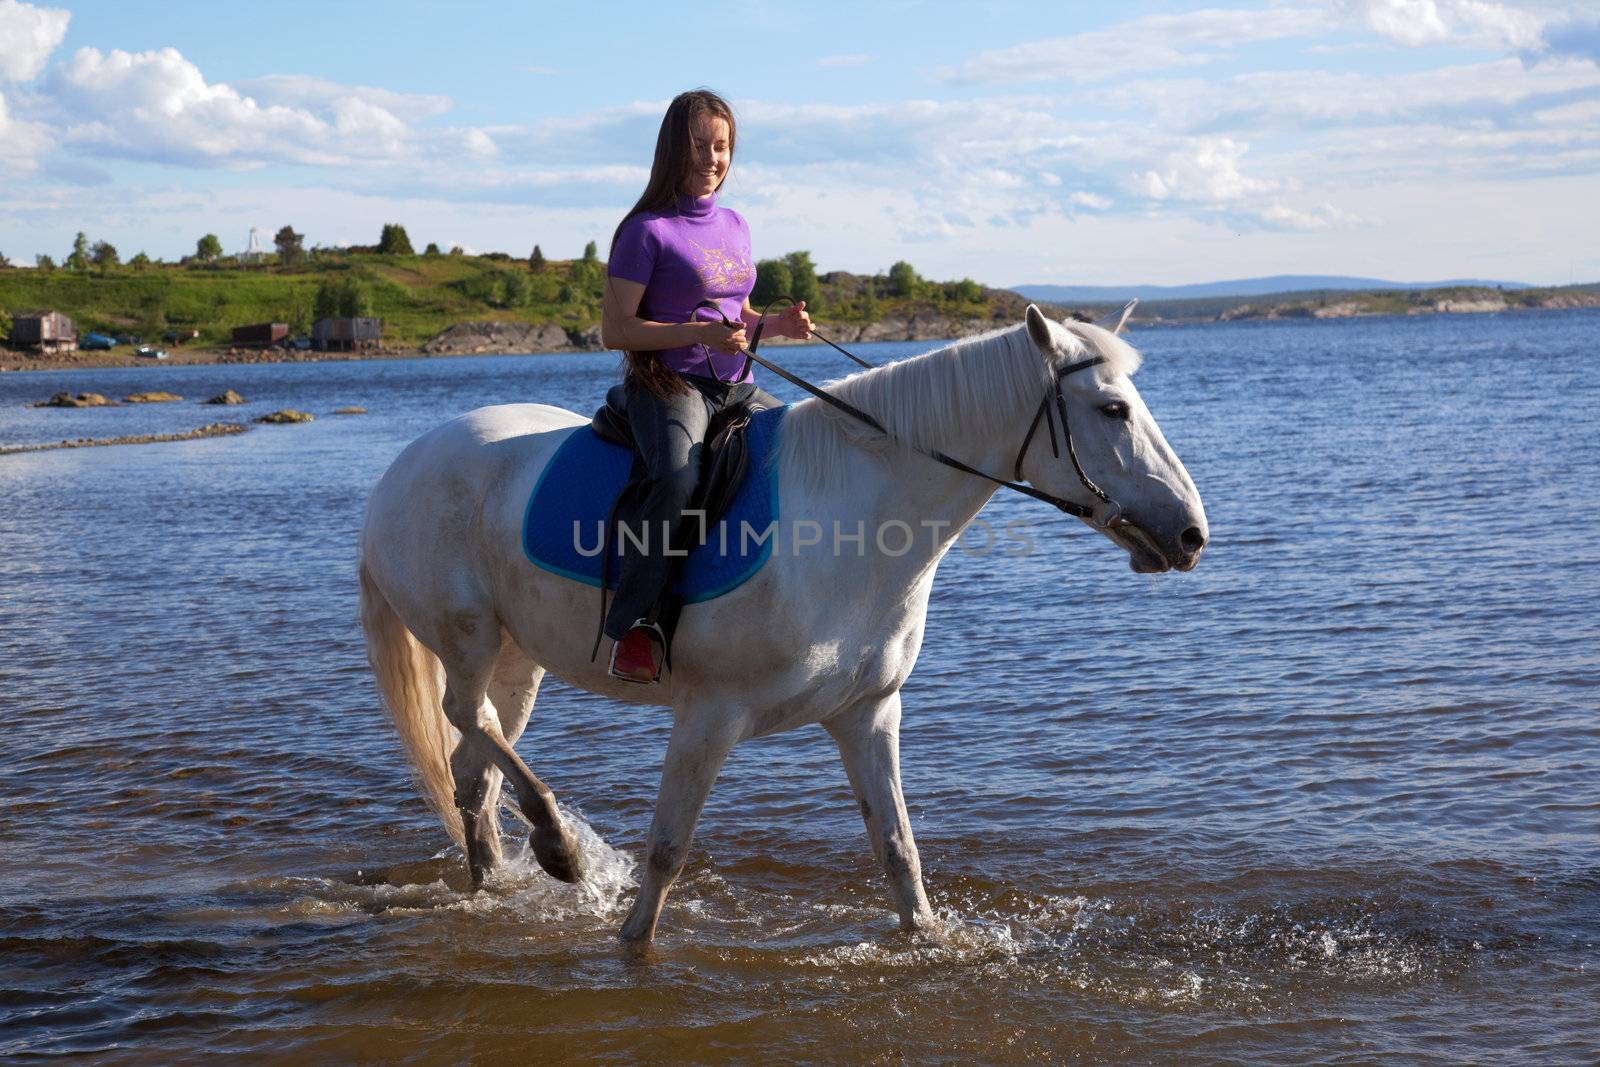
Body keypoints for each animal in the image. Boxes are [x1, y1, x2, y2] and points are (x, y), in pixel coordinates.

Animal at [363, 307, 1203, 940]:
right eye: (1113, 408)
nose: (1191, 533)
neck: (852, 517)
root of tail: (403, 464)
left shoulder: (868, 713)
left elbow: (898, 852)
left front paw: (927, 939)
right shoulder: (708, 715)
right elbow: (667, 853)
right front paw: (630, 943)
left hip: (520, 657)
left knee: (474, 761)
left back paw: (496, 881)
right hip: (468, 637)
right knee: (465, 716)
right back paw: (559, 843)